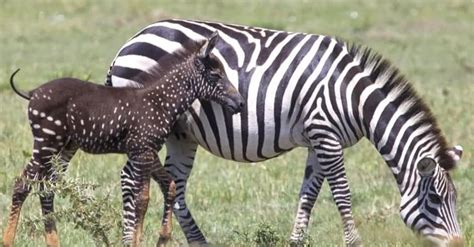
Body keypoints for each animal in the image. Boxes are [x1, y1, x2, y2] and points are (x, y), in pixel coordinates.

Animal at [4, 31, 244, 247]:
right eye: (215, 75)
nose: (241, 103)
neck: (160, 102)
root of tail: (34, 91)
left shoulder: (146, 150)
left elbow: (168, 185)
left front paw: (162, 238)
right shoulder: (142, 151)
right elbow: (142, 199)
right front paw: (138, 242)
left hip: (63, 147)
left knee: (46, 187)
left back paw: (53, 242)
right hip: (46, 143)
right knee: (22, 183)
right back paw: (8, 241)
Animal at [105, 18, 464, 245]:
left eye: (455, 199)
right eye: (435, 199)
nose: (459, 244)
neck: (352, 97)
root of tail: (130, 41)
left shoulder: (319, 141)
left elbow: (308, 195)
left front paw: (296, 241)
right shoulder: (326, 135)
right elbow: (342, 194)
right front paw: (354, 242)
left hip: (182, 135)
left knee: (174, 184)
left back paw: (200, 242)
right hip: (149, 124)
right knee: (130, 179)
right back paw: (128, 239)